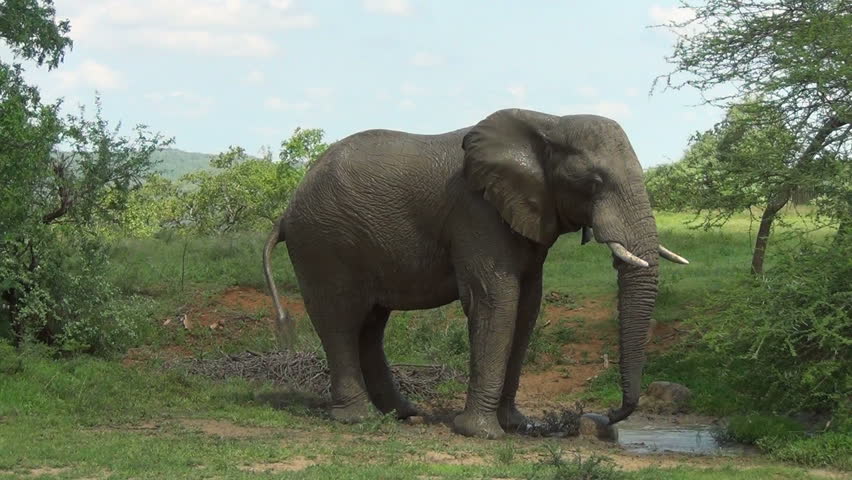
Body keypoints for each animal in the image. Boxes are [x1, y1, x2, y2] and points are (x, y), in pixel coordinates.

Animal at [263, 108, 689, 439]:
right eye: (593, 182)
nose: (605, 418)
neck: (548, 122)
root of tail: (285, 213)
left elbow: (527, 306)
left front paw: (517, 425)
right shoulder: (475, 212)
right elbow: (495, 298)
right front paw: (482, 433)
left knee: (371, 325)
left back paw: (404, 414)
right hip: (323, 245)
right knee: (340, 321)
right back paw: (357, 418)